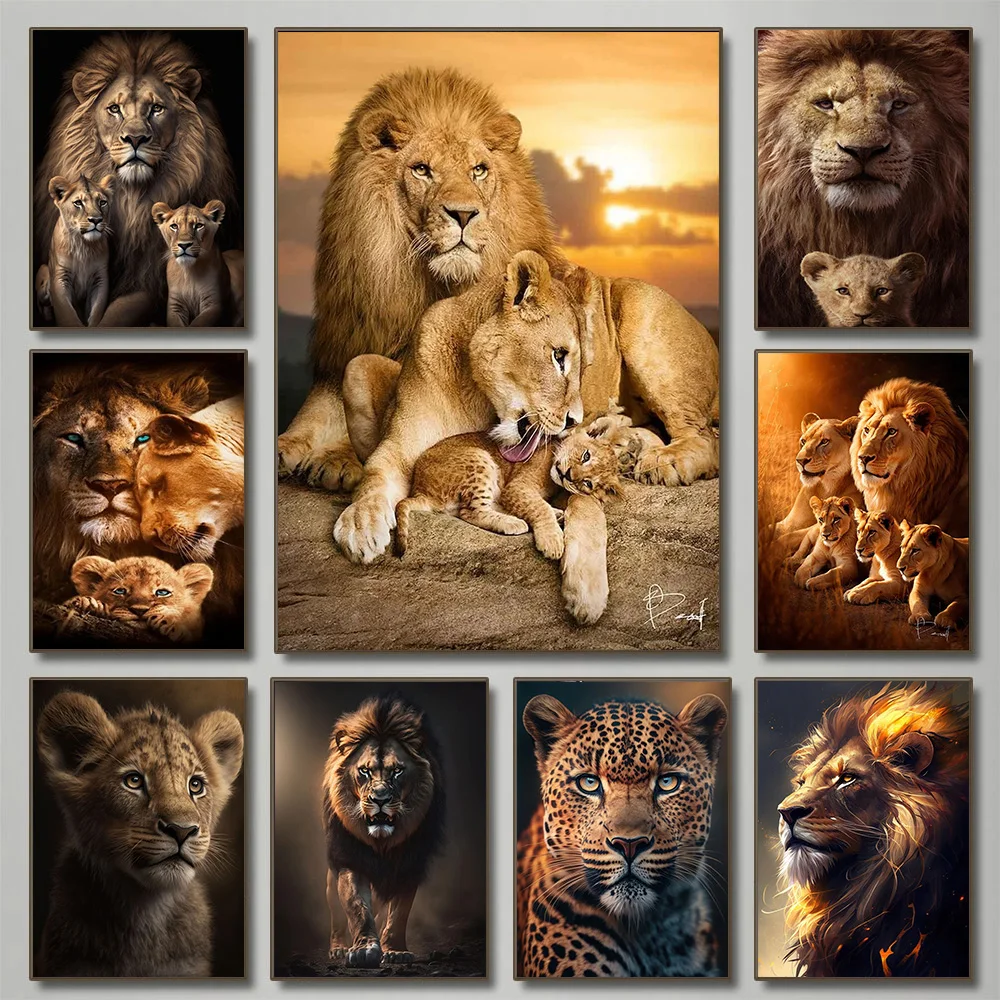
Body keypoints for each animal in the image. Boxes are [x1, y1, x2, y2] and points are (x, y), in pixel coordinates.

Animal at [38, 173, 115, 327]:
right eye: (78, 203)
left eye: (102, 202)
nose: (96, 220)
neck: (83, 245)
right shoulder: (60, 276)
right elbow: (67, 314)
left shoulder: (100, 278)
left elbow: (97, 311)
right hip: (43, 272)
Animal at [322, 693, 445, 968]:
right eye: (364, 771)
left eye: (397, 771)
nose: (380, 799)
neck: (382, 842)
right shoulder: (350, 859)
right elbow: (357, 907)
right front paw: (363, 949)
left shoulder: (410, 864)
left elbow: (399, 913)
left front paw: (396, 951)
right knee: (336, 913)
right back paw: (337, 948)